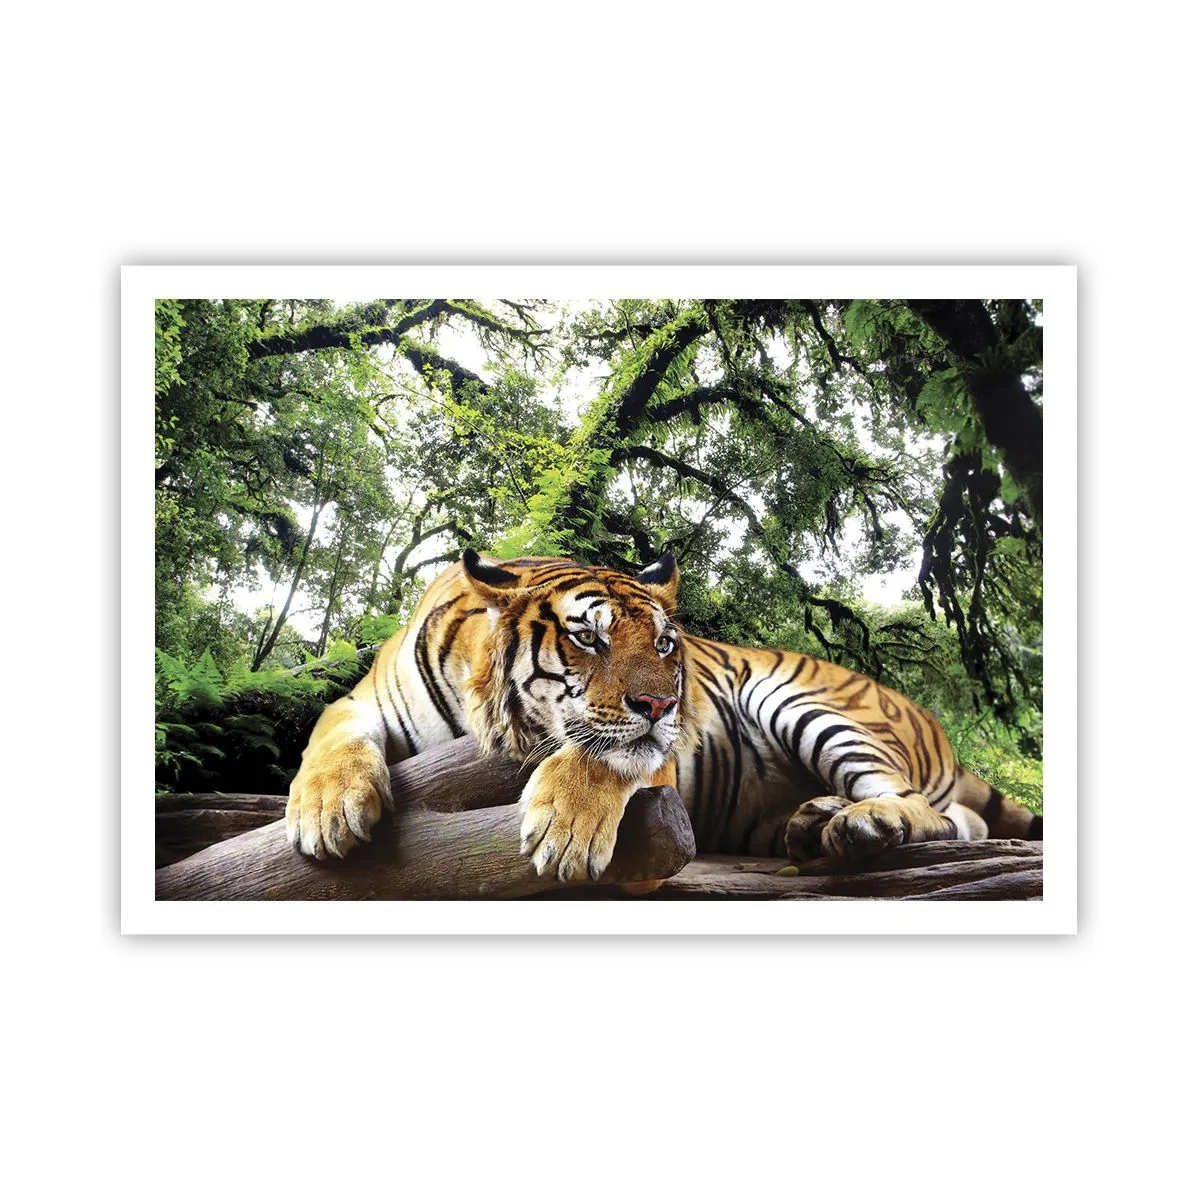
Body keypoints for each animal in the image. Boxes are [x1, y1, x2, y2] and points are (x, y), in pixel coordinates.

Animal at [286, 550, 1041, 881]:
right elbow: (329, 737)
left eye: (665, 645)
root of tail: (932, 720)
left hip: (806, 703)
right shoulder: (361, 701)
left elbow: (605, 754)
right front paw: (327, 811)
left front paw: (564, 831)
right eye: (588, 638)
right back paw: (814, 821)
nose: (662, 704)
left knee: (929, 811)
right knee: (959, 820)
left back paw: (860, 824)